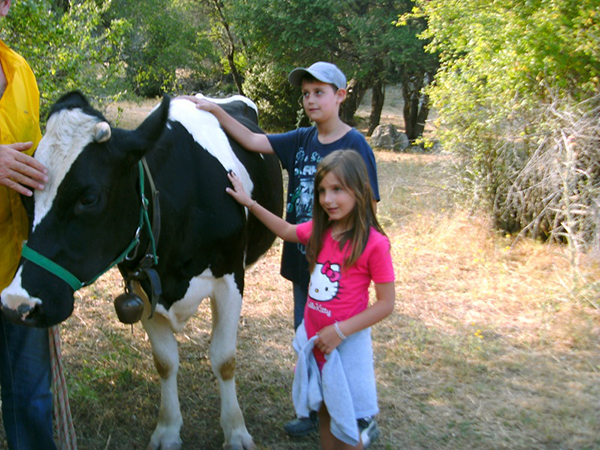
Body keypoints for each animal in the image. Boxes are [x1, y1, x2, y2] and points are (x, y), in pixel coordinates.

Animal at [0, 91, 284, 450]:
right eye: (25, 195)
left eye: (89, 197)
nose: (16, 304)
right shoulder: (143, 284)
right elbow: (164, 361)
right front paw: (168, 429)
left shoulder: (230, 279)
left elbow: (224, 359)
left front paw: (235, 431)